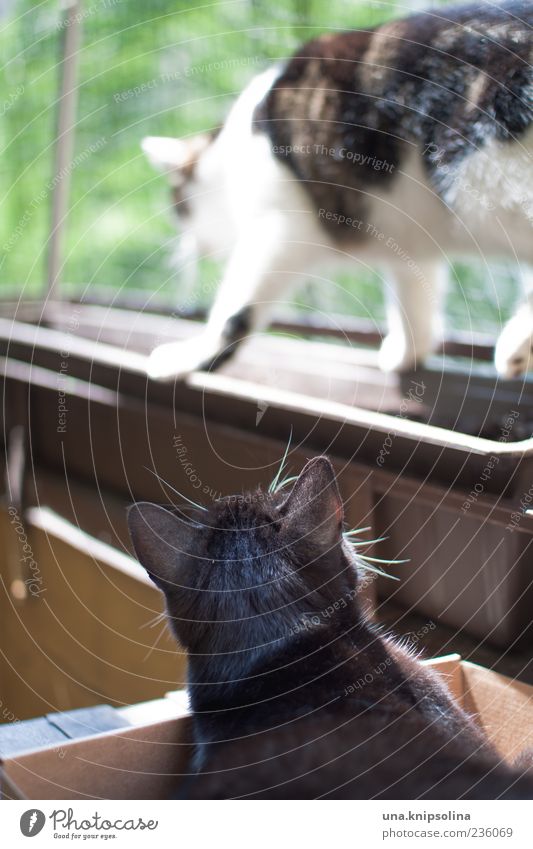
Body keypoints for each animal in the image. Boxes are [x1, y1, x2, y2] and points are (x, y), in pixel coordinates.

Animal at [142, 0, 532, 378]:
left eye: (178, 209)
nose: (183, 247)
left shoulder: (281, 227)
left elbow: (234, 309)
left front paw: (193, 354)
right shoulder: (412, 240)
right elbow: (413, 299)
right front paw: (408, 353)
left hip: (482, 180)